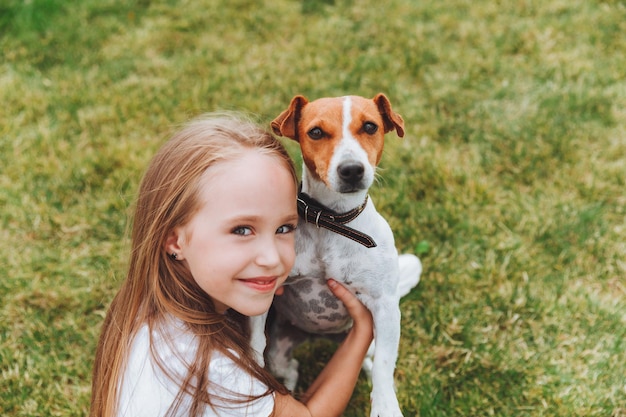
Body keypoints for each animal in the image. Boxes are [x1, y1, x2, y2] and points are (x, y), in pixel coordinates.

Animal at [252, 94, 420, 416]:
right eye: (316, 132)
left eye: (370, 126)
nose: (352, 169)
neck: (330, 220)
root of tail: (320, 335)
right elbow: (253, 341)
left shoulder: (385, 306)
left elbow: (383, 365)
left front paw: (385, 404)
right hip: (281, 348)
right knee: (287, 366)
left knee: (370, 359)